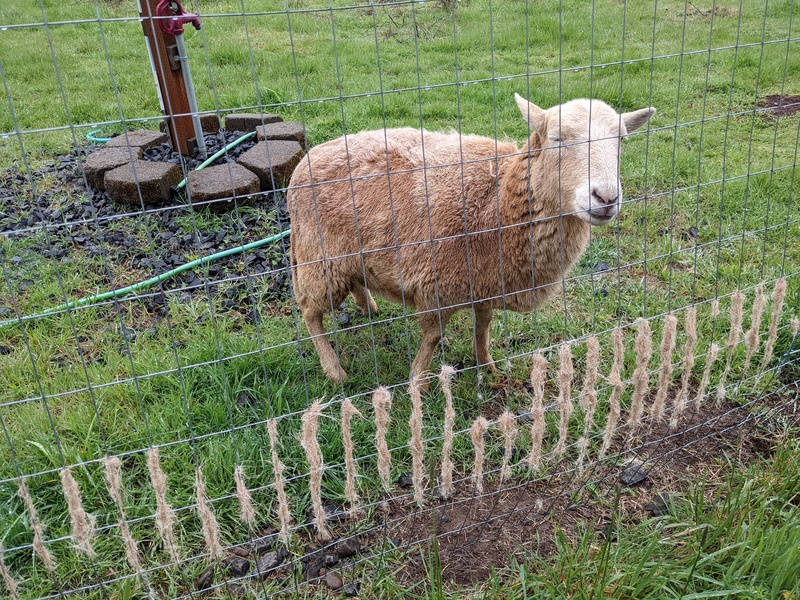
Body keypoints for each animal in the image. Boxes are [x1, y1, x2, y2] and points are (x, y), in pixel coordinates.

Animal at [290, 94, 656, 384]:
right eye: (557, 138)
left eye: (622, 140)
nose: (606, 197)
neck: (498, 202)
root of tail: (307, 160)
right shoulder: (437, 284)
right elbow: (433, 336)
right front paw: (418, 380)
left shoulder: (486, 281)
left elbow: (484, 326)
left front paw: (487, 364)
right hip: (319, 258)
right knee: (309, 311)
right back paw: (334, 370)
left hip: (346, 255)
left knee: (354, 281)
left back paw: (368, 307)